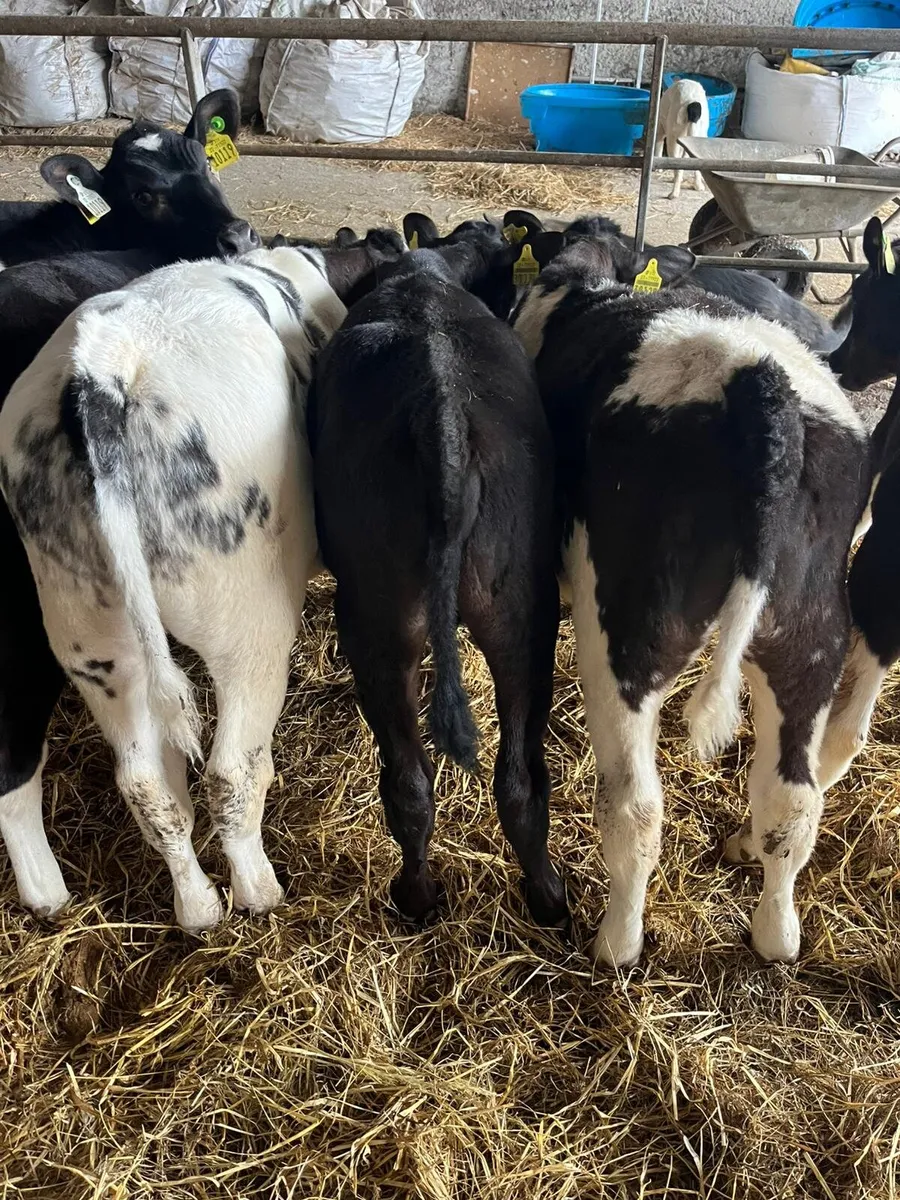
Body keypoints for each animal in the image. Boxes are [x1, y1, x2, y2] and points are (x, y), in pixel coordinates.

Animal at [0, 230, 404, 928]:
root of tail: (100, 366)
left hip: (91, 637)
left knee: (144, 784)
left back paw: (196, 907)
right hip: (245, 618)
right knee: (231, 771)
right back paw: (258, 892)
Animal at [308, 215, 568, 927]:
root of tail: (441, 409)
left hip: (378, 621)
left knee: (410, 781)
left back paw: (419, 898)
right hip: (520, 616)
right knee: (514, 781)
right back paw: (546, 899)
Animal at [510, 229, 869, 965]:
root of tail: (759, 389)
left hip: (629, 634)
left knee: (635, 807)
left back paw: (617, 943)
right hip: (809, 633)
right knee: (793, 804)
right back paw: (775, 935)